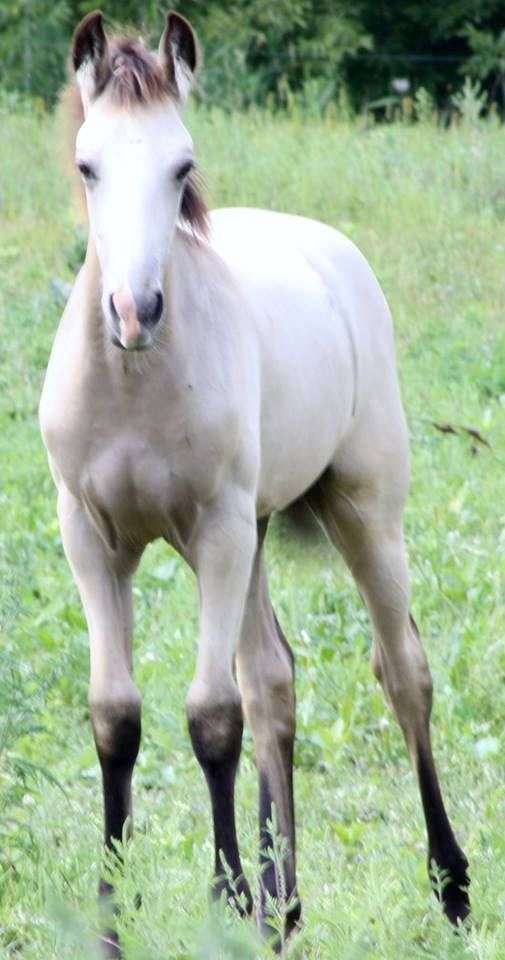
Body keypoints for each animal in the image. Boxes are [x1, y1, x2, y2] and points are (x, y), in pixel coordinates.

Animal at [39, 9, 470, 955]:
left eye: (181, 166)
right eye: (89, 165)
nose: (135, 312)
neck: (135, 387)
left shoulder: (219, 530)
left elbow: (211, 716)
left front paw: (223, 901)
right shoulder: (91, 538)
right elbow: (117, 716)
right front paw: (113, 920)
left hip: (360, 511)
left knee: (402, 672)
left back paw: (451, 888)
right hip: (256, 535)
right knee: (274, 681)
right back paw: (284, 908)